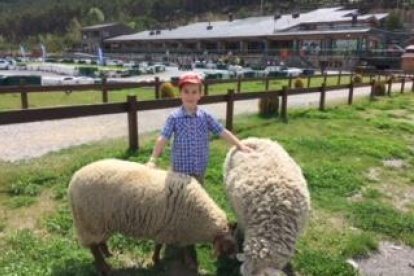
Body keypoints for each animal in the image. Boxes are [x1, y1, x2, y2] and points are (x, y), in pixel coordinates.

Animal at [68, 158, 236, 274]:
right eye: (228, 246)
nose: (233, 262)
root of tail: (73, 181)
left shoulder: (167, 228)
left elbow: (162, 245)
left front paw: (159, 259)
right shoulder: (173, 228)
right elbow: (174, 247)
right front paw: (165, 261)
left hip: (101, 223)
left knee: (100, 242)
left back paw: (108, 254)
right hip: (89, 222)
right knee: (93, 247)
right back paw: (104, 267)